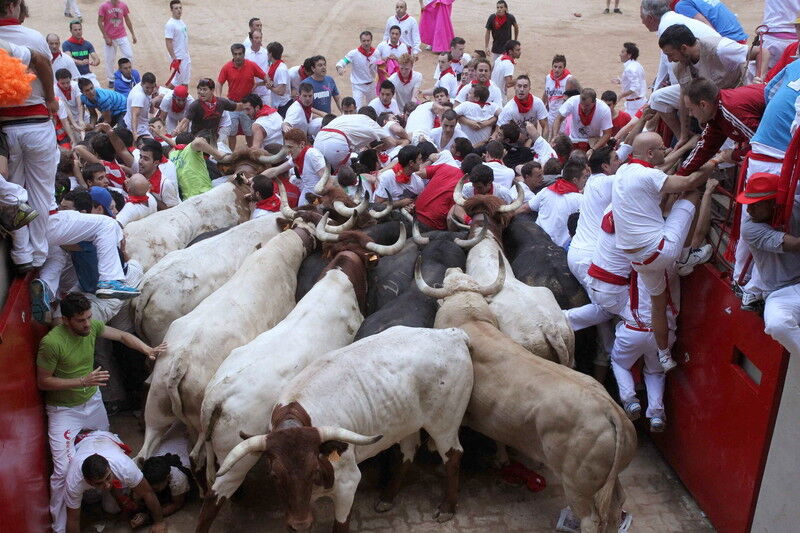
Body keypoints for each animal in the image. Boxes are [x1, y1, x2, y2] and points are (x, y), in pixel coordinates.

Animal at [216, 326, 472, 528]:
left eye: (314, 470)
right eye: (274, 475)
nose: (301, 523)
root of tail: (451, 334)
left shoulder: (348, 484)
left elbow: (341, 525)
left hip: (445, 422)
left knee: (454, 456)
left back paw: (447, 508)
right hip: (407, 422)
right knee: (407, 452)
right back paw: (388, 497)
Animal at [418, 258, 636, 532]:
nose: (452, 269)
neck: (472, 323)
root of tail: (612, 412)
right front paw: (501, 459)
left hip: (578, 487)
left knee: (591, 519)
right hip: (609, 480)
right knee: (618, 505)